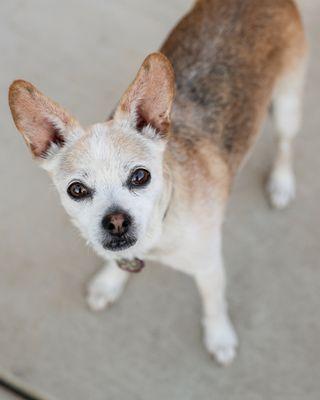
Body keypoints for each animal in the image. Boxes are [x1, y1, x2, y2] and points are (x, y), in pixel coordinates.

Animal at [8, 0, 306, 366]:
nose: (116, 221)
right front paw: (109, 282)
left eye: (141, 176)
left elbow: (213, 304)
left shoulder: (209, 267)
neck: (159, 234)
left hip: (288, 106)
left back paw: (281, 183)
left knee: (285, 144)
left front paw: (219, 336)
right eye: (76, 190)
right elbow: (117, 262)